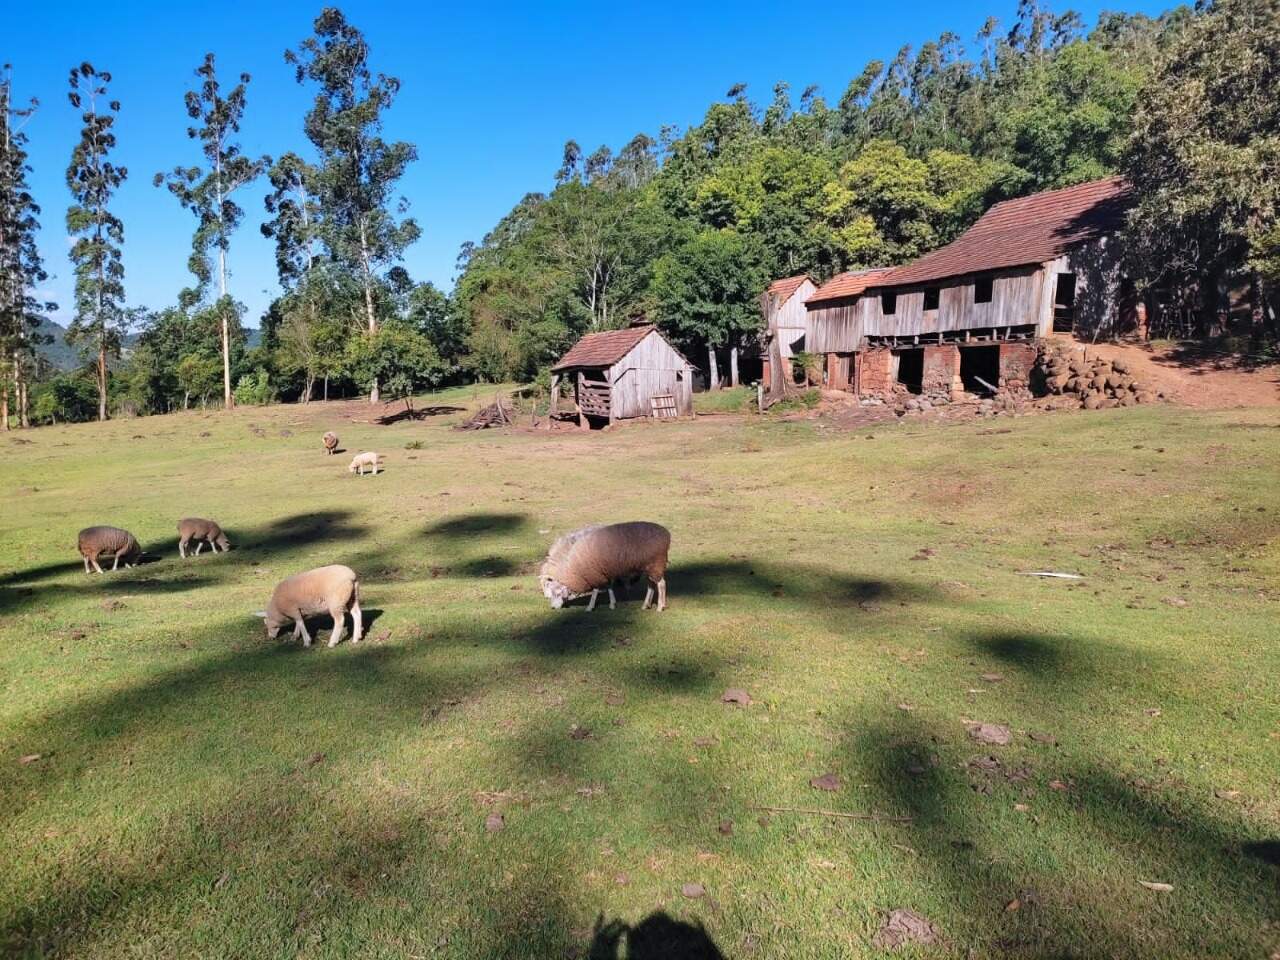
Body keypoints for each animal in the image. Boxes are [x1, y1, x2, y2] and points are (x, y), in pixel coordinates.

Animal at [537, 522, 670, 611]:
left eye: (557, 593)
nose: (553, 607)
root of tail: (666, 534)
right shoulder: (605, 572)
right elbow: (609, 587)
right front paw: (612, 604)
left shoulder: (595, 573)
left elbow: (595, 591)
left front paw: (590, 607)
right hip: (650, 566)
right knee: (651, 584)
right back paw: (645, 605)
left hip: (656, 563)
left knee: (661, 584)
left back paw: (660, 606)